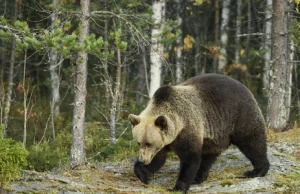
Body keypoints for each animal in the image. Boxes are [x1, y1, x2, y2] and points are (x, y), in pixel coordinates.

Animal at [128, 74, 270, 192]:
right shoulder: (166, 140)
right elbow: (158, 158)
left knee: (251, 141)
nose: (142, 159)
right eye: (139, 142)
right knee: (209, 155)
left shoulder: (187, 128)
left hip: (240, 115)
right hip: (215, 135)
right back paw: (199, 177)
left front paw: (178, 187)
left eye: (149, 143)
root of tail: (243, 86)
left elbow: (190, 158)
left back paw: (257, 170)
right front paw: (143, 175)